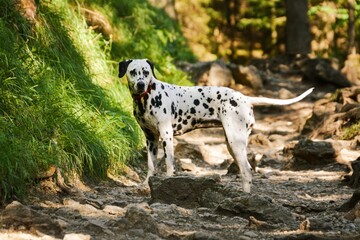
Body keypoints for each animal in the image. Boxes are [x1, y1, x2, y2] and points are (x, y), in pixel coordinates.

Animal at [118, 58, 312, 193]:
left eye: (146, 72)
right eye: (133, 72)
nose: (141, 84)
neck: (147, 97)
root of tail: (245, 98)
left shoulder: (167, 136)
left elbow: (169, 165)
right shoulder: (151, 139)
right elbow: (151, 166)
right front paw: (146, 185)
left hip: (235, 142)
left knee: (247, 170)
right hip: (232, 144)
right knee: (245, 170)